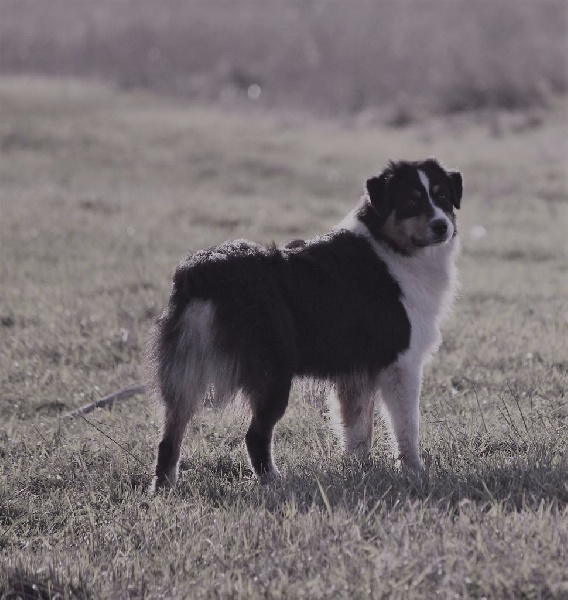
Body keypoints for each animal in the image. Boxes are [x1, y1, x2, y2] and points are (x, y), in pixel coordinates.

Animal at [148, 157, 462, 490]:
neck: (390, 247)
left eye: (443, 196)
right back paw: (273, 481)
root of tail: (204, 270)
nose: (442, 226)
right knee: (254, 435)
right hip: (272, 375)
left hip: (185, 373)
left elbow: (357, 432)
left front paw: (360, 472)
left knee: (170, 436)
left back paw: (163, 488)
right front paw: (415, 473)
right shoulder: (402, 365)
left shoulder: (356, 373)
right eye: (411, 201)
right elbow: (406, 429)